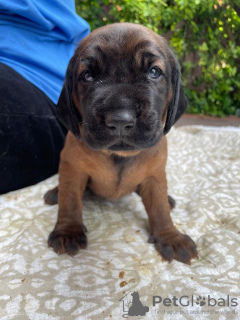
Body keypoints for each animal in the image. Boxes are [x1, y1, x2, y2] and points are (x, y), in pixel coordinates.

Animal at [44, 22, 197, 264]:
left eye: (154, 72)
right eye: (87, 76)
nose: (120, 120)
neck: (118, 156)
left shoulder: (155, 175)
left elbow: (159, 208)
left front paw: (169, 236)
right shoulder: (72, 168)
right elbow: (70, 201)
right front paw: (68, 231)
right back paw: (55, 193)